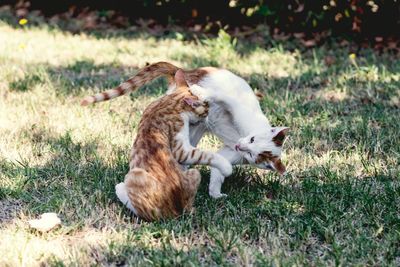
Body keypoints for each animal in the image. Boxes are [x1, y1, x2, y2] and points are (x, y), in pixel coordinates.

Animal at [82, 61, 288, 198]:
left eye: (253, 155)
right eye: (252, 139)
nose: (241, 146)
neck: (240, 136)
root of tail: (188, 70)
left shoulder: (232, 153)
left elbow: (218, 170)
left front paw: (215, 194)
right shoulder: (237, 106)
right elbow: (221, 97)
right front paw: (202, 93)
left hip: (195, 130)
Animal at [113, 69, 231, 222]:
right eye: (206, 110)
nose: (207, 119)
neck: (169, 101)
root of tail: (175, 213)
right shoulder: (181, 150)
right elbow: (207, 155)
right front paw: (227, 167)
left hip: (192, 173)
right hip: (135, 176)